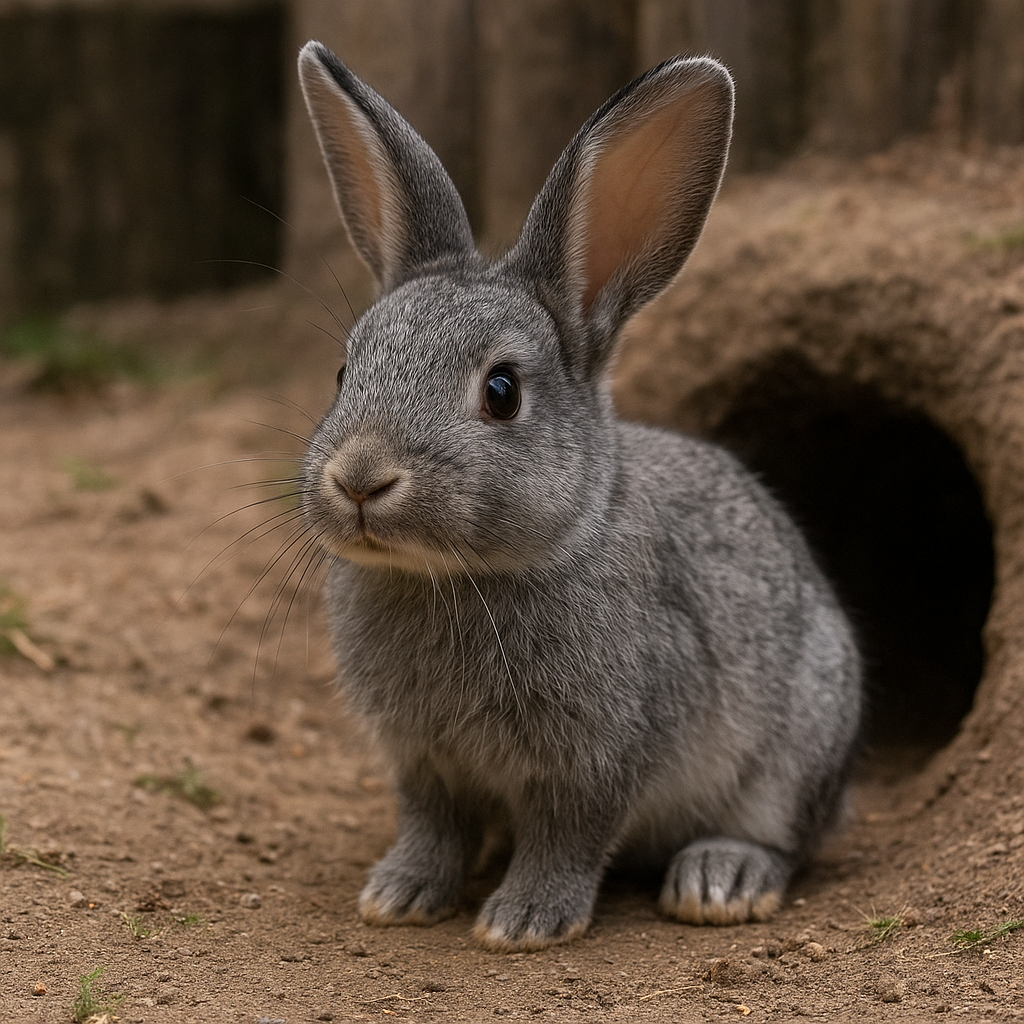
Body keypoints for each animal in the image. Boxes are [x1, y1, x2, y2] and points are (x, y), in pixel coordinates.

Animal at [296, 39, 862, 952]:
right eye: (346, 371)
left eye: (501, 392)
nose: (358, 479)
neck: (461, 576)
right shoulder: (421, 760)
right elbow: (433, 825)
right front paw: (399, 895)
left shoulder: (599, 757)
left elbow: (568, 837)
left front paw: (524, 921)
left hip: (800, 738)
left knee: (782, 836)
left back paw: (721, 880)